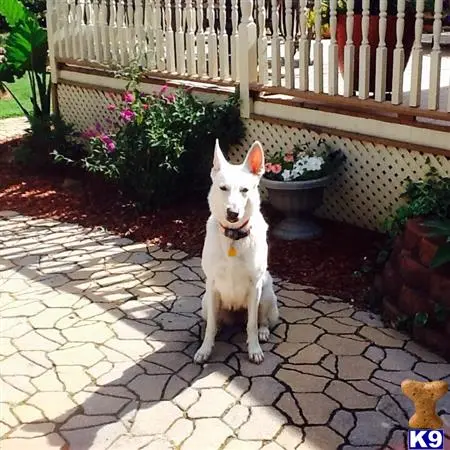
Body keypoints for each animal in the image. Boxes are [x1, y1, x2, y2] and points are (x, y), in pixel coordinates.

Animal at [193, 139, 278, 364]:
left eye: (244, 190)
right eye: (223, 188)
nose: (233, 213)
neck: (233, 235)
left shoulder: (255, 286)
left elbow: (252, 325)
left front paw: (254, 349)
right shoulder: (212, 285)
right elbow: (211, 326)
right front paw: (205, 349)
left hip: (266, 294)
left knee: (261, 320)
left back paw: (263, 332)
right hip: (206, 302)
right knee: (215, 321)